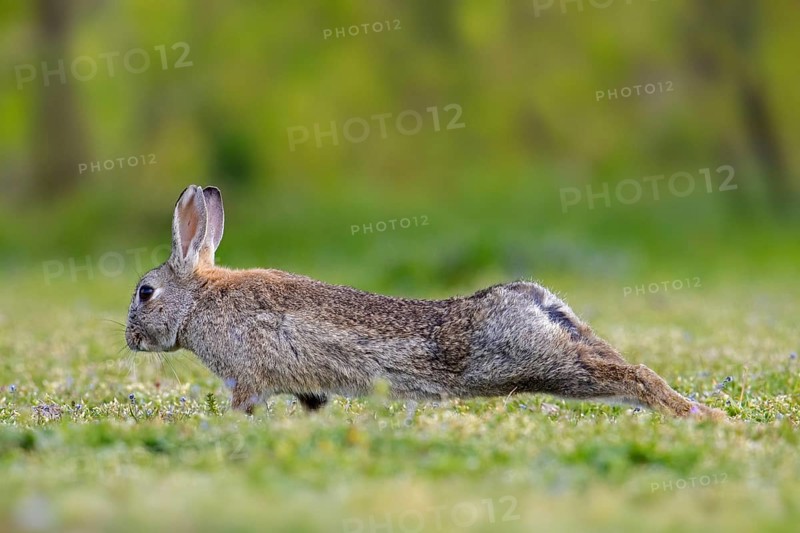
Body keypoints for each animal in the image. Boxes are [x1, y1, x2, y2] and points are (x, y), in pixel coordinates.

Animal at [125, 185, 726, 421]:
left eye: (145, 292)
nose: (129, 340)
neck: (200, 299)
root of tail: (534, 299)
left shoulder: (249, 376)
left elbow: (245, 403)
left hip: (534, 363)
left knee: (632, 375)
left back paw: (697, 415)